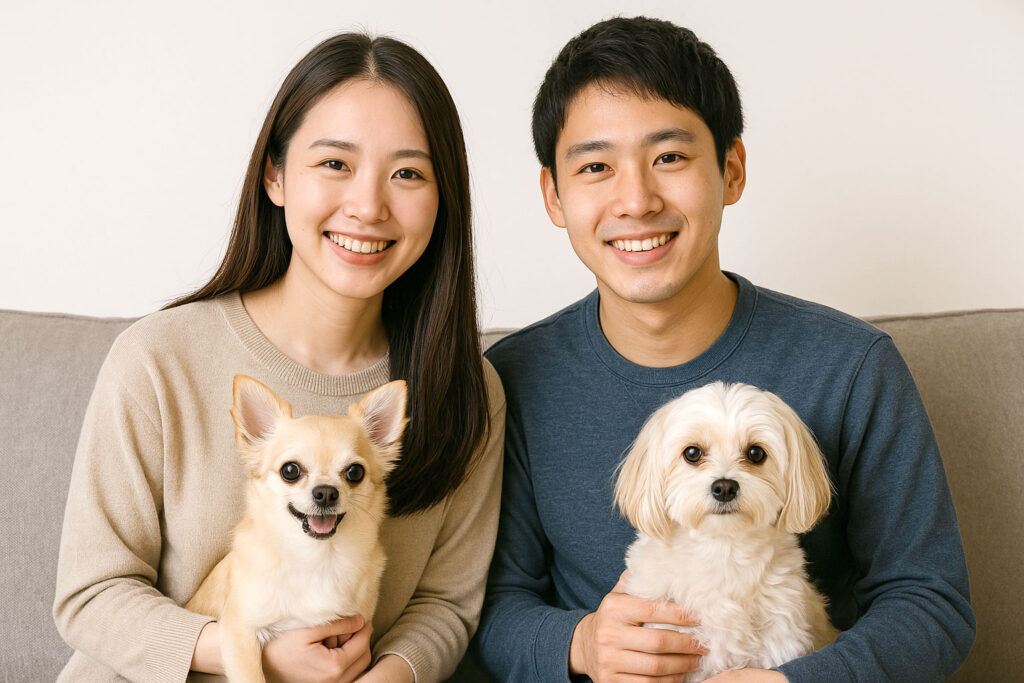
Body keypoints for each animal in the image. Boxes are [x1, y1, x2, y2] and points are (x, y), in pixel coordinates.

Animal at [186, 374, 407, 682]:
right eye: (290, 471)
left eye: (355, 472)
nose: (325, 492)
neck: (315, 557)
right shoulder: (239, 631)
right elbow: (253, 677)